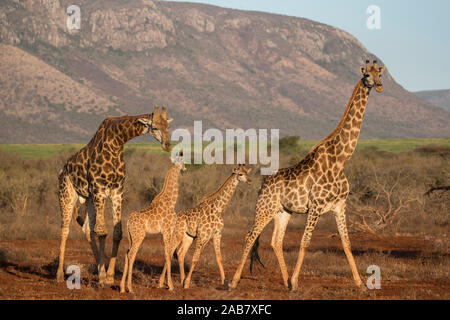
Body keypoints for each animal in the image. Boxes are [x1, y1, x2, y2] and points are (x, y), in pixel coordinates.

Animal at [55, 107, 174, 284]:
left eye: (168, 127)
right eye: (154, 127)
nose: (167, 145)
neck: (117, 142)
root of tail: (62, 170)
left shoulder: (117, 191)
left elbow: (117, 233)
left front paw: (109, 276)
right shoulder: (100, 189)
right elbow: (103, 232)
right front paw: (104, 277)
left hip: (89, 199)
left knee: (87, 229)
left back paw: (98, 269)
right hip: (67, 195)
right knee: (65, 230)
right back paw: (59, 275)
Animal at [230, 60, 384, 292]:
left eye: (379, 73)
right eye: (366, 75)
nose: (379, 85)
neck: (340, 160)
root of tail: (261, 185)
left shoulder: (340, 206)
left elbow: (346, 243)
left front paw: (359, 283)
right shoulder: (316, 207)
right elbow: (305, 243)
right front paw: (296, 281)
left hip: (283, 212)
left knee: (276, 241)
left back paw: (286, 282)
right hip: (264, 208)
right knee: (250, 236)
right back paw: (233, 282)